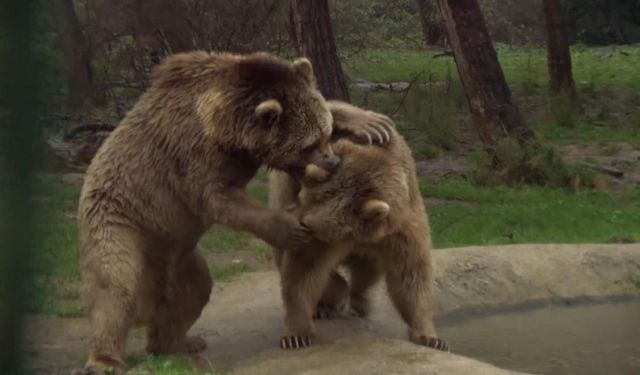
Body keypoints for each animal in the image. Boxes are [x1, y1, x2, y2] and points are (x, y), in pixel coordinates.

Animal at [77, 51, 392, 374]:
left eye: (326, 133)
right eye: (309, 145)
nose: (332, 161)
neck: (225, 128)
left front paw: (371, 122)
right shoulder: (191, 154)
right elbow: (221, 200)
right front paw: (289, 227)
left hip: (180, 255)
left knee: (195, 291)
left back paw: (179, 343)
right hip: (124, 219)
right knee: (115, 286)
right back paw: (106, 359)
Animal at [268, 133, 444, 352]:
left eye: (308, 223)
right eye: (302, 197)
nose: (291, 222)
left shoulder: (400, 229)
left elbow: (411, 273)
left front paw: (430, 337)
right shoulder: (320, 240)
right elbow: (304, 271)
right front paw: (297, 335)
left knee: (368, 269)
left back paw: (360, 301)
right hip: (281, 191)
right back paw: (329, 302)